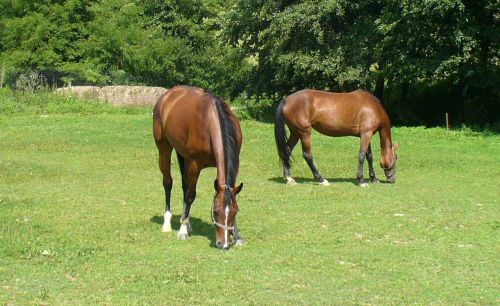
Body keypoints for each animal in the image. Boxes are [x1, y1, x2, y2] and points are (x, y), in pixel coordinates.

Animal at [154, 85, 244, 249]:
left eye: (235, 211)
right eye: (215, 211)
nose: (223, 244)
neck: (210, 122)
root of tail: (167, 95)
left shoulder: (235, 164)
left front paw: (237, 235)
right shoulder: (195, 164)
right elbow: (191, 195)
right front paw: (182, 230)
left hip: (182, 154)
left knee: (184, 185)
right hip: (164, 148)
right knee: (168, 183)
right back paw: (167, 223)